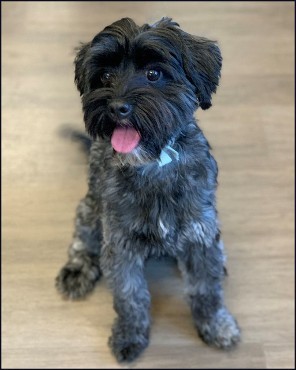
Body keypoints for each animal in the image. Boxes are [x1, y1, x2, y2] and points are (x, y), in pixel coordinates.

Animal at [55, 17, 240, 362]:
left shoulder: (200, 234)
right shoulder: (120, 246)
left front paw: (216, 325)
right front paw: (130, 334)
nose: (117, 107)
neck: (154, 163)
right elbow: (130, 296)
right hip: (90, 209)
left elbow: (206, 289)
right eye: (105, 76)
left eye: (154, 74)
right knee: (81, 237)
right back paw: (77, 269)